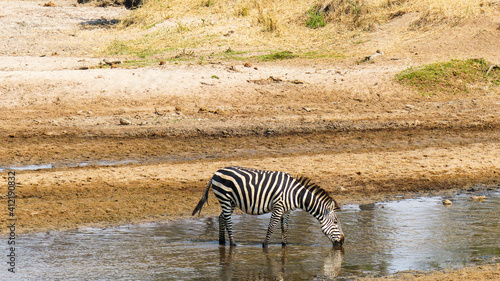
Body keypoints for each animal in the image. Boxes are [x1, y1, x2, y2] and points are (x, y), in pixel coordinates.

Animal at [192, 166, 344, 247]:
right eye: (336, 222)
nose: (342, 241)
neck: (295, 195)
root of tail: (216, 172)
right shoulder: (278, 207)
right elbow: (271, 227)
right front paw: (265, 245)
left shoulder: (287, 211)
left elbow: (284, 228)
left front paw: (285, 245)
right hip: (224, 198)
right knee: (228, 220)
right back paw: (233, 243)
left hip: (231, 201)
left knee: (221, 217)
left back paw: (222, 242)